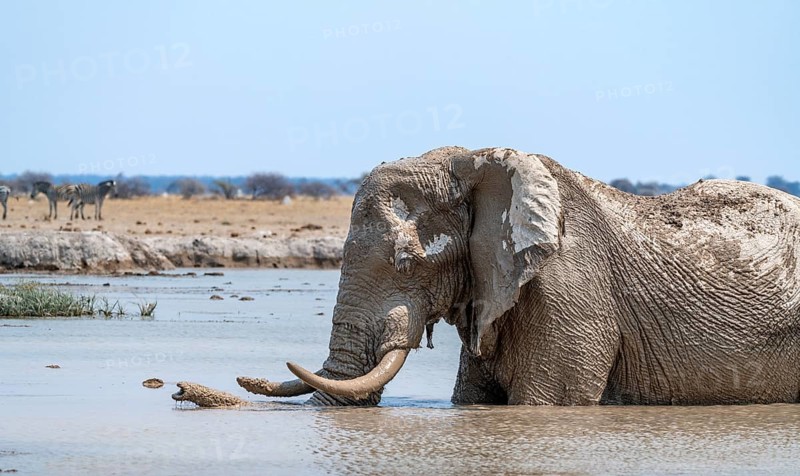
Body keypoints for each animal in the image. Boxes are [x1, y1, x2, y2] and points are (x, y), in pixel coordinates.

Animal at [176, 146, 800, 407]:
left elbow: (546, 403)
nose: (183, 390)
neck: (476, 161)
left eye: (406, 263)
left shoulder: (571, 290)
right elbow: (470, 399)